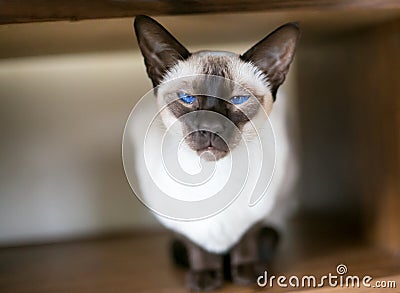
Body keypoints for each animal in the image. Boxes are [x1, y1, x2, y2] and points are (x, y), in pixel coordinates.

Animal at [131, 16, 300, 290]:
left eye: (238, 100)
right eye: (187, 98)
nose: (211, 127)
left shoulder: (262, 209)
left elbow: (246, 240)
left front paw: (247, 274)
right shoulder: (179, 220)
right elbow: (198, 247)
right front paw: (204, 278)